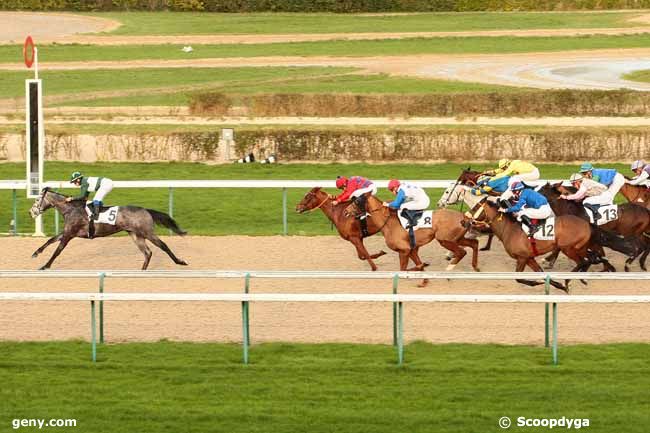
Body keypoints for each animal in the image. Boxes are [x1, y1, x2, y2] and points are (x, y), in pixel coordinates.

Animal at [30, 186, 187, 268]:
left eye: (37, 199)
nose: (31, 212)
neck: (71, 209)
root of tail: (146, 210)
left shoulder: (69, 234)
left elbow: (58, 250)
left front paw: (45, 266)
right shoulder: (68, 231)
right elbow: (50, 240)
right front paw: (35, 253)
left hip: (147, 232)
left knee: (163, 246)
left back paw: (180, 261)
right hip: (136, 235)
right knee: (147, 253)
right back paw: (142, 270)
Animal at [464, 198, 636, 290]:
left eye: (475, 208)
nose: (463, 221)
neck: (509, 229)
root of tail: (586, 223)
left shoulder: (522, 257)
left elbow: (519, 278)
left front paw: (537, 283)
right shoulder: (529, 258)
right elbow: (540, 272)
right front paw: (556, 285)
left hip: (568, 248)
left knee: (584, 261)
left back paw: (569, 280)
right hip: (580, 247)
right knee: (591, 258)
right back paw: (583, 277)